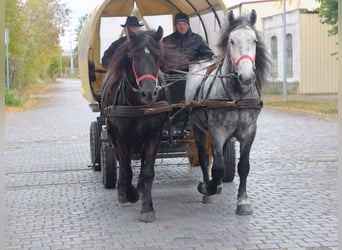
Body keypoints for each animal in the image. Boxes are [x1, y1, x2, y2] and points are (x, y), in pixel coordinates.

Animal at [101, 26, 171, 223]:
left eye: (157, 57)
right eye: (135, 58)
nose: (149, 93)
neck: (138, 105)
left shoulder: (154, 135)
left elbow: (148, 171)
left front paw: (147, 208)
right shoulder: (121, 137)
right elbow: (125, 169)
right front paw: (129, 194)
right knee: (121, 163)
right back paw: (124, 191)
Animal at [184, 10, 270, 215]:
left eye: (254, 40)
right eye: (231, 41)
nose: (246, 77)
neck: (236, 97)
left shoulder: (249, 131)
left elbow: (243, 166)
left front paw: (243, 201)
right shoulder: (217, 131)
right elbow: (217, 167)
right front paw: (208, 188)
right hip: (197, 126)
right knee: (204, 156)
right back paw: (209, 184)